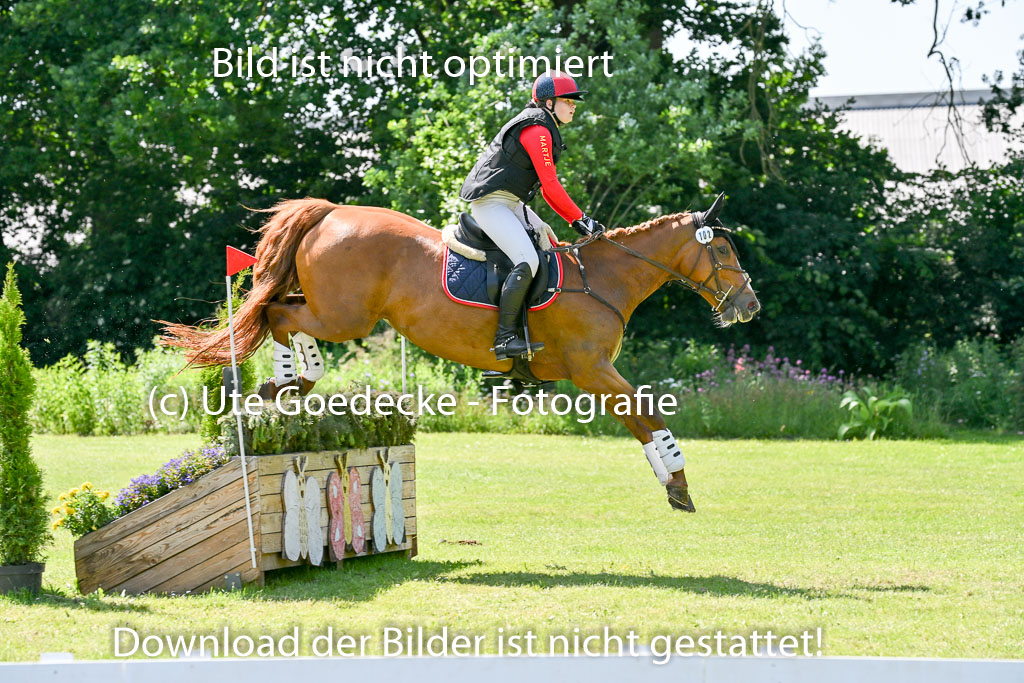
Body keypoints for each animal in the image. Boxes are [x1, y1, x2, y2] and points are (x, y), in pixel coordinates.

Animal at [161, 195, 760, 512]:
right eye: (724, 250)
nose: (749, 304)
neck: (605, 277)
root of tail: (330, 212)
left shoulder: (596, 373)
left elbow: (640, 420)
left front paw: (672, 484)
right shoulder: (592, 369)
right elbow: (647, 413)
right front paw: (677, 481)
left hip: (333, 308)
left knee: (277, 309)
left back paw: (284, 385)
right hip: (343, 315)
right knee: (277, 316)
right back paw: (288, 382)